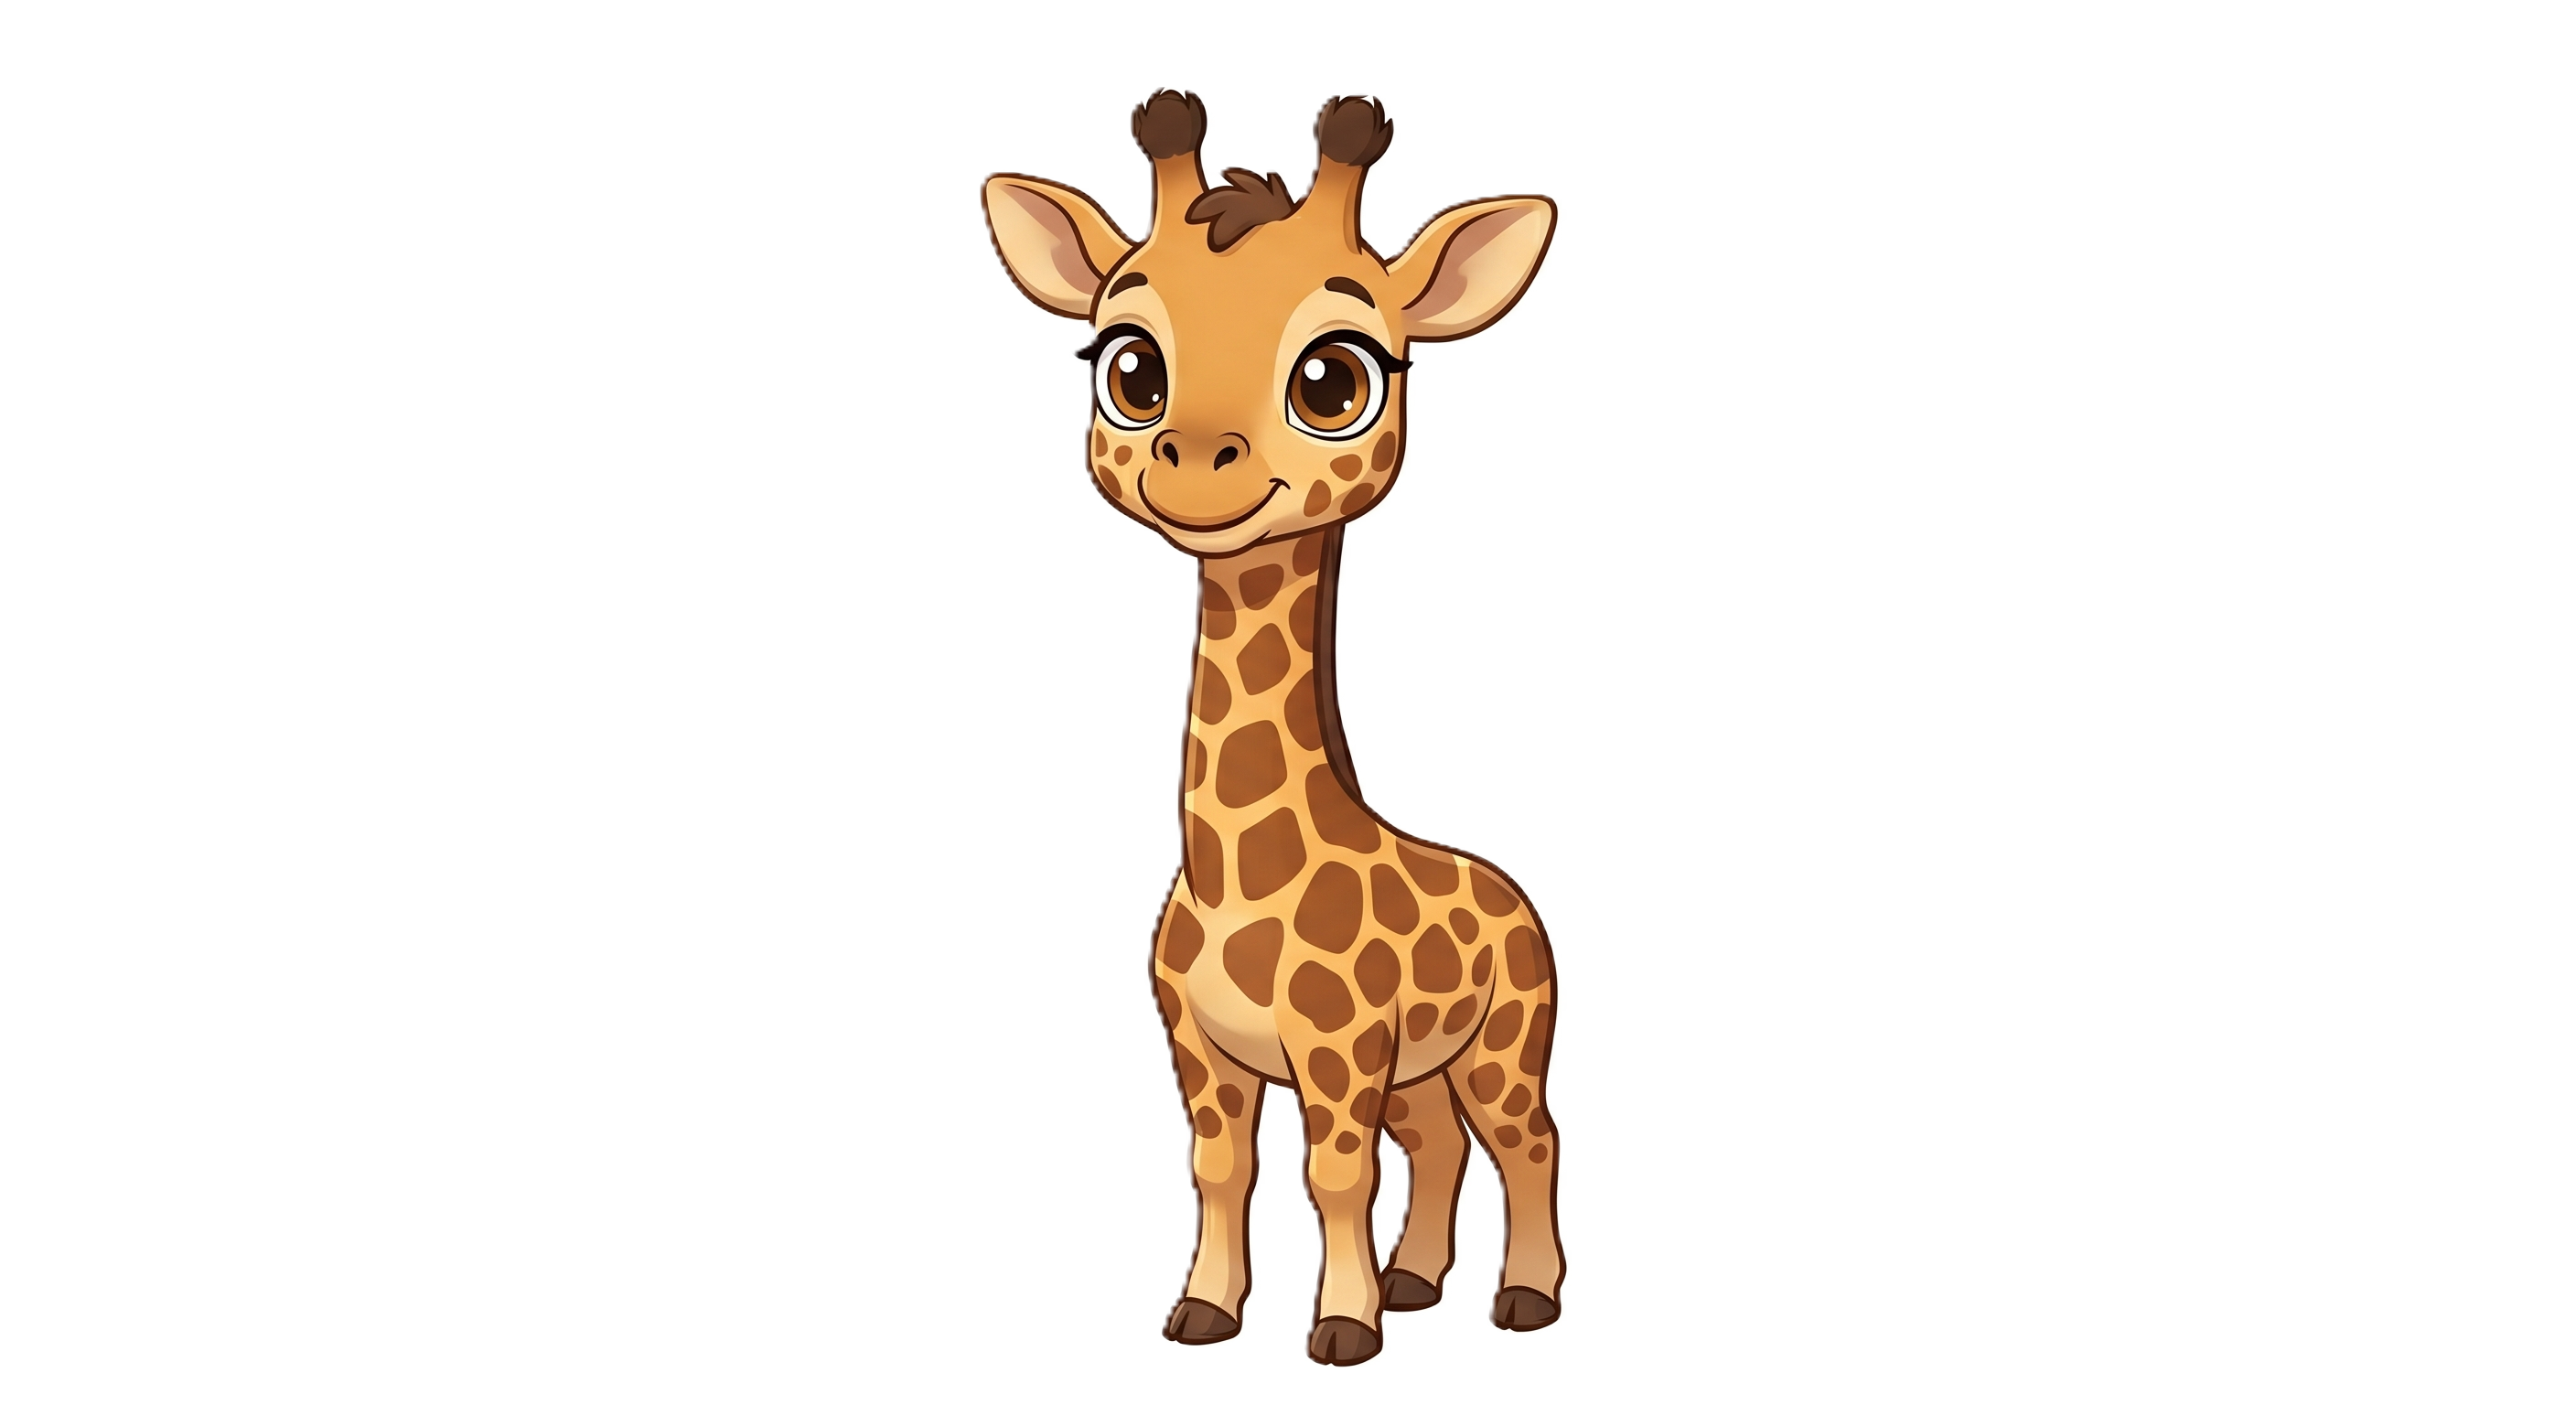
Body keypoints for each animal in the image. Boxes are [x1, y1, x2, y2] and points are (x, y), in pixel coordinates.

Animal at [980, 88, 1562, 1367]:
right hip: (1422, 1063)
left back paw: (1525, 1298)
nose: (1195, 465)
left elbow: (1331, 1176)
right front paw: (1203, 1310)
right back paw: (1414, 1282)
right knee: (1438, 1140)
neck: (1233, 875)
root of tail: (1512, 890)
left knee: (1525, 1137)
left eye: (1334, 380)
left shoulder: (1339, 1050)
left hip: (1506, 1038)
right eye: (1128, 366)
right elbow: (1220, 1168)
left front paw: (1338, 1331)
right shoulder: (1199, 1047)